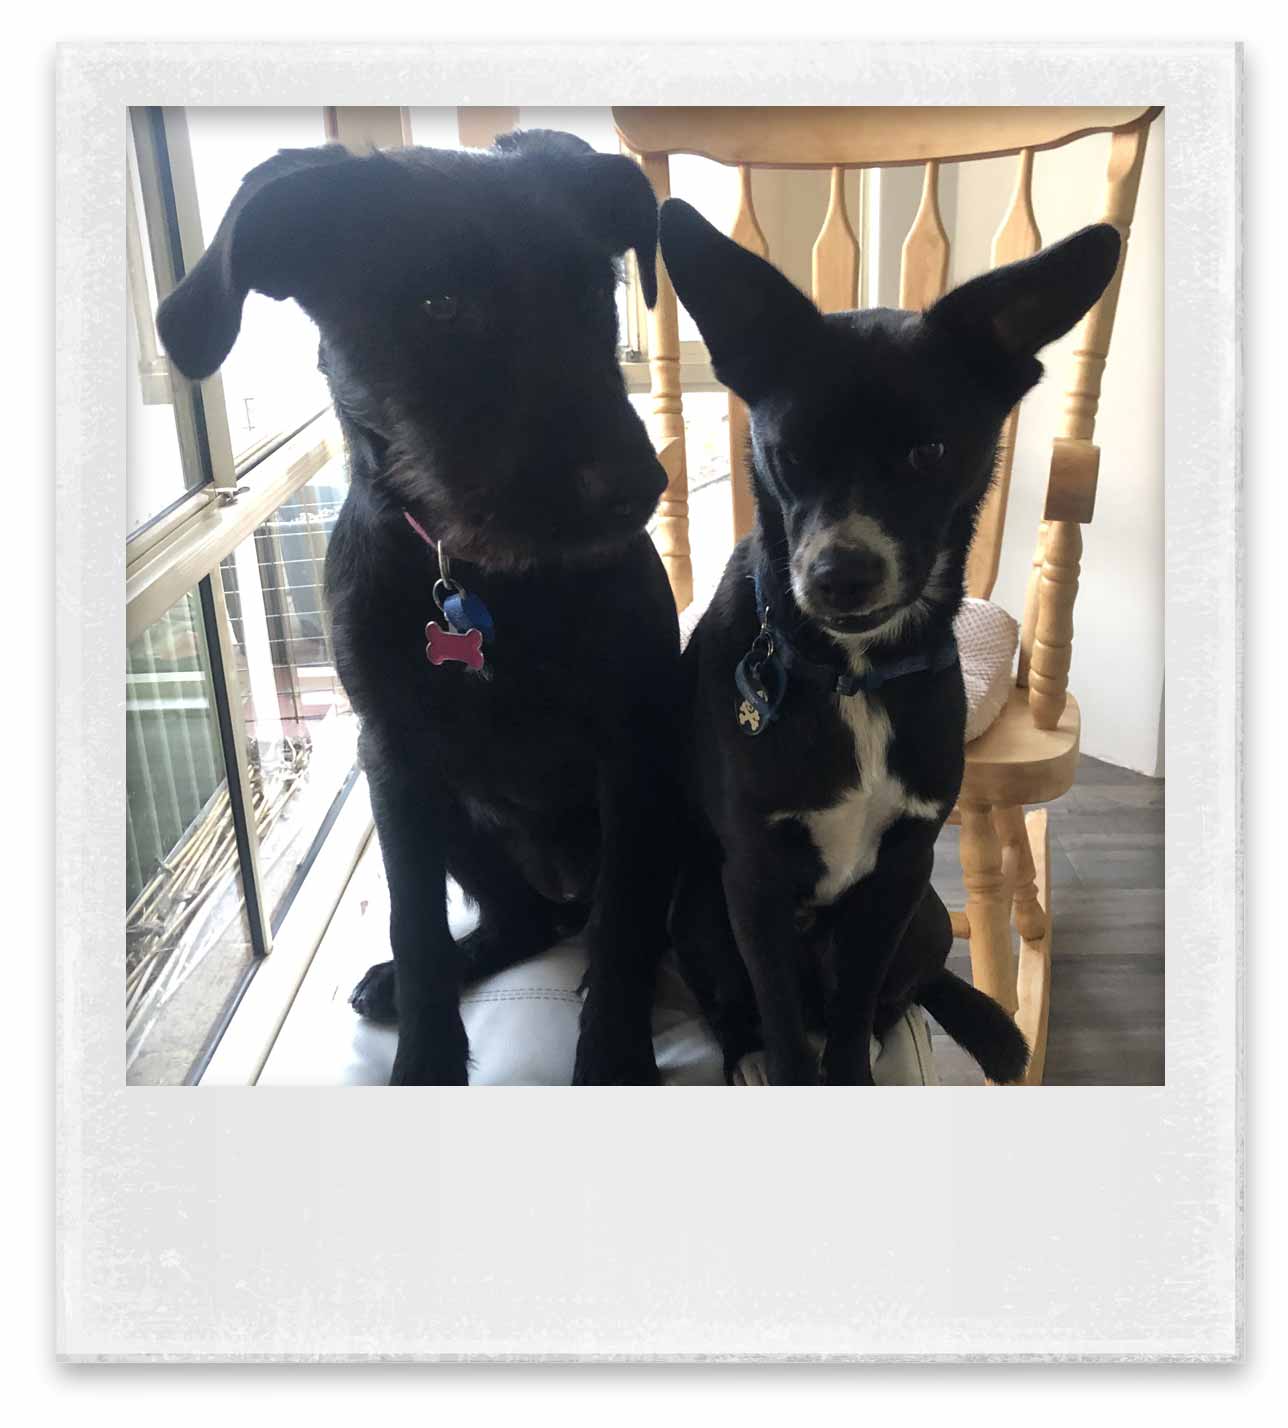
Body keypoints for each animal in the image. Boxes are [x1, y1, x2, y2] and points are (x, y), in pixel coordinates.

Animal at [158, 134, 685, 1085]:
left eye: (597, 294)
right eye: (440, 306)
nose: (638, 487)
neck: (484, 581)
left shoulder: (636, 753)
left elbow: (627, 922)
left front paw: (615, 1055)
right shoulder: (395, 763)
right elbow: (417, 924)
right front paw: (425, 1055)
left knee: (604, 923)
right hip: (456, 821)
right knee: (520, 921)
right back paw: (405, 982)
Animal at [659, 198, 1125, 1079]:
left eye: (929, 451)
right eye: (791, 450)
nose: (840, 575)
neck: (853, 673)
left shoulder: (903, 871)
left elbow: (851, 1013)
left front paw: (850, 1065)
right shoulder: (754, 883)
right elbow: (780, 1020)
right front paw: (785, 1062)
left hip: (930, 913)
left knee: (910, 986)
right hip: (697, 907)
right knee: (733, 1002)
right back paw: (744, 1051)